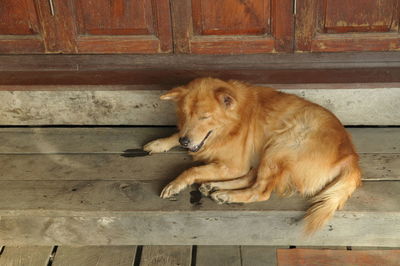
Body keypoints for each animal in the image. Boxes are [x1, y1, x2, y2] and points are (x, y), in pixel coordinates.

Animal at [145, 77, 362, 233]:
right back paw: (214, 186)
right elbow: (176, 135)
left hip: (281, 144)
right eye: (184, 115)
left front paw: (175, 183)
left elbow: (191, 170)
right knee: (252, 177)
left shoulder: (234, 165)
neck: (233, 124)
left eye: (205, 117)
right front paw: (159, 143)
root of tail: (350, 157)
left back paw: (226, 194)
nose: (185, 142)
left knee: (260, 190)